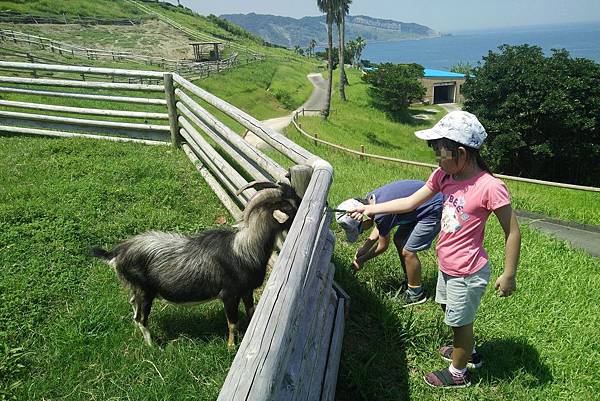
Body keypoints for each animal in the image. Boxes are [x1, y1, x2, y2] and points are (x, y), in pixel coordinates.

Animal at [89, 181, 300, 346]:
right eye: (289, 208)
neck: (244, 248)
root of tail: (118, 252)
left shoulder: (246, 290)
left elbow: (250, 311)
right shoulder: (229, 294)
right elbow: (232, 323)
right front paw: (231, 346)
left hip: (136, 288)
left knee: (133, 306)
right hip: (145, 291)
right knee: (141, 318)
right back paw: (152, 346)